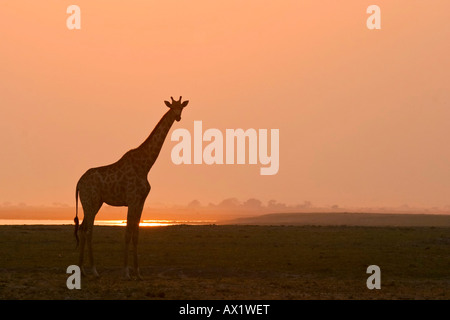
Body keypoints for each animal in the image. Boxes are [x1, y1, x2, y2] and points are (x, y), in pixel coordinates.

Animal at [73, 96, 188, 278]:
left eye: (181, 107)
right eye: (172, 107)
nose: (178, 117)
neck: (145, 166)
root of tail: (78, 182)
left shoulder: (141, 202)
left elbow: (136, 233)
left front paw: (138, 272)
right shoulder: (132, 200)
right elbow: (127, 233)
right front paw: (126, 271)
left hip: (93, 203)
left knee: (83, 229)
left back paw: (82, 270)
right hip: (90, 201)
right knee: (88, 230)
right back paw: (94, 270)